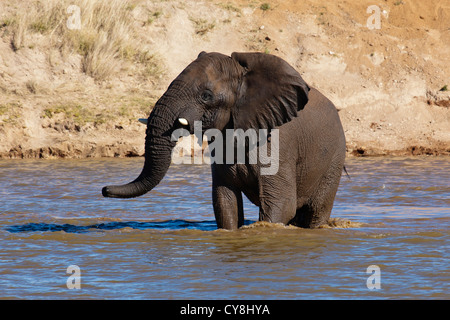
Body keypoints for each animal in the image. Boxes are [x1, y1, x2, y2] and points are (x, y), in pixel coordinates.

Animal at [102, 51, 346, 229]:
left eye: (206, 96)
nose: (104, 190)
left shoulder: (278, 141)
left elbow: (281, 205)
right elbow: (225, 202)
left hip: (334, 159)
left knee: (315, 213)